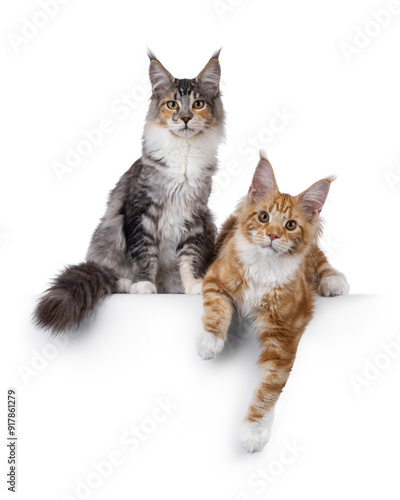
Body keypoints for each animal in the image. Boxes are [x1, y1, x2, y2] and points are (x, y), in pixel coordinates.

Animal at [35, 50, 225, 334]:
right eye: (172, 105)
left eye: (199, 104)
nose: (185, 118)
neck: (185, 152)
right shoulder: (139, 211)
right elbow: (144, 254)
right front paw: (144, 285)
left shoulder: (196, 217)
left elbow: (190, 257)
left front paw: (194, 285)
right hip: (110, 233)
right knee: (111, 275)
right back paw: (128, 284)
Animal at [198, 155, 348, 454]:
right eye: (264, 217)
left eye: (290, 225)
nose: (272, 235)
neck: (263, 269)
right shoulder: (215, 279)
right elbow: (217, 310)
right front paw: (210, 343)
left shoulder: (283, 335)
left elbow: (268, 388)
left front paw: (254, 431)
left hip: (312, 258)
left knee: (320, 259)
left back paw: (334, 281)